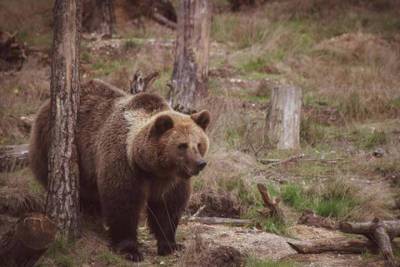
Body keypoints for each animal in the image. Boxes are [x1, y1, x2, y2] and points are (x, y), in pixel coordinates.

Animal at [29, 79, 211, 262]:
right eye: (182, 145)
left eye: (199, 144)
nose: (200, 163)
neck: (151, 168)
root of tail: (45, 105)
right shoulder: (123, 164)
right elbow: (122, 202)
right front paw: (130, 250)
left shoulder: (172, 180)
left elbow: (168, 207)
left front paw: (171, 245)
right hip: (55, 146)